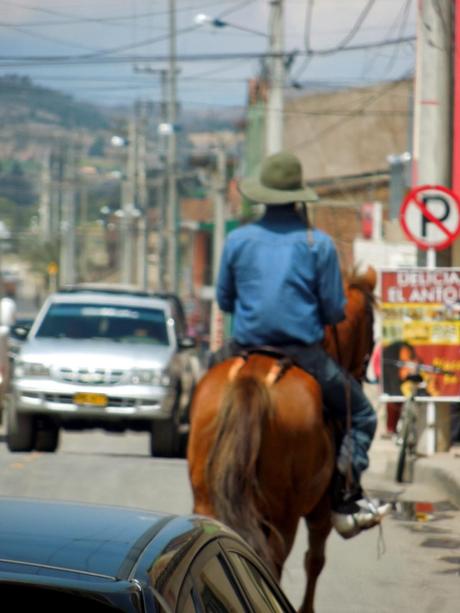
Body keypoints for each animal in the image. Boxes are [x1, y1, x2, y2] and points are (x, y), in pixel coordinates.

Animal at [187, 266, 378, 608]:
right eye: (371, 325)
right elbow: (315, 560)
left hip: (207, 497)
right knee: (274, 560)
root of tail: (252, 377)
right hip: (284, 514)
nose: (363, 373)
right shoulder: (320, 511)